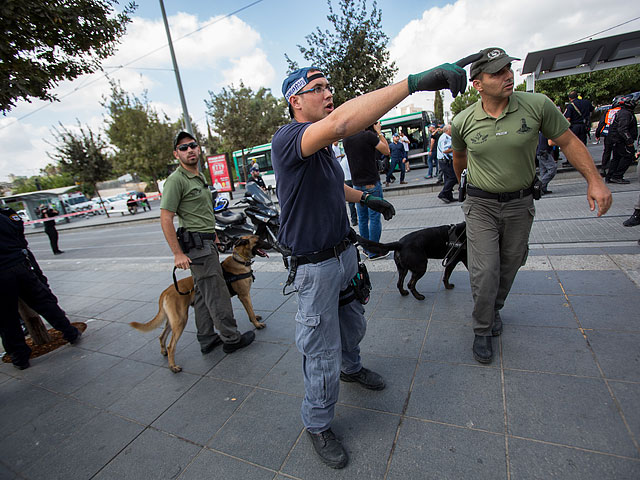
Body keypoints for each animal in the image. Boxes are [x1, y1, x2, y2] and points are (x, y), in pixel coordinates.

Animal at [130, 234, 270, 374]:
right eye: (258, 240)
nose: (272, 244)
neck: (239, 260)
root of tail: (165, 292)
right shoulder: (244, 295)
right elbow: (250, 310)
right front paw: (257, 324)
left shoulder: (246, 295)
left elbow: (251, 309)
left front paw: (256, 318)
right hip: (181, 320)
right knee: (171, 345)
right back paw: (173, 366)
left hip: (172, 320)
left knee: (161, 336)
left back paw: (164, 351)